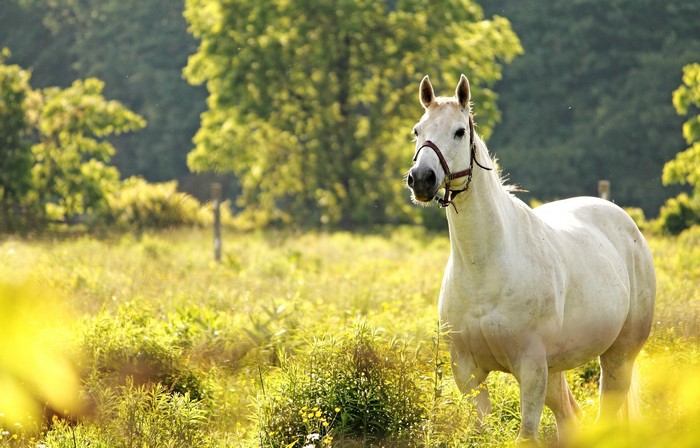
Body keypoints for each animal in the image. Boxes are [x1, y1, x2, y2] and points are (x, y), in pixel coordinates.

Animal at [405, 74, 655, 446]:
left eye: (459, 132)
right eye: (418, 130)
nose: (421, 179)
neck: (486, 269)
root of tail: (624, 222)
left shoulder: (531, 367)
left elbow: (526, 436)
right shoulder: (466, 371)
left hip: (618, 357)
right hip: (558, 370)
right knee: (570, 417)